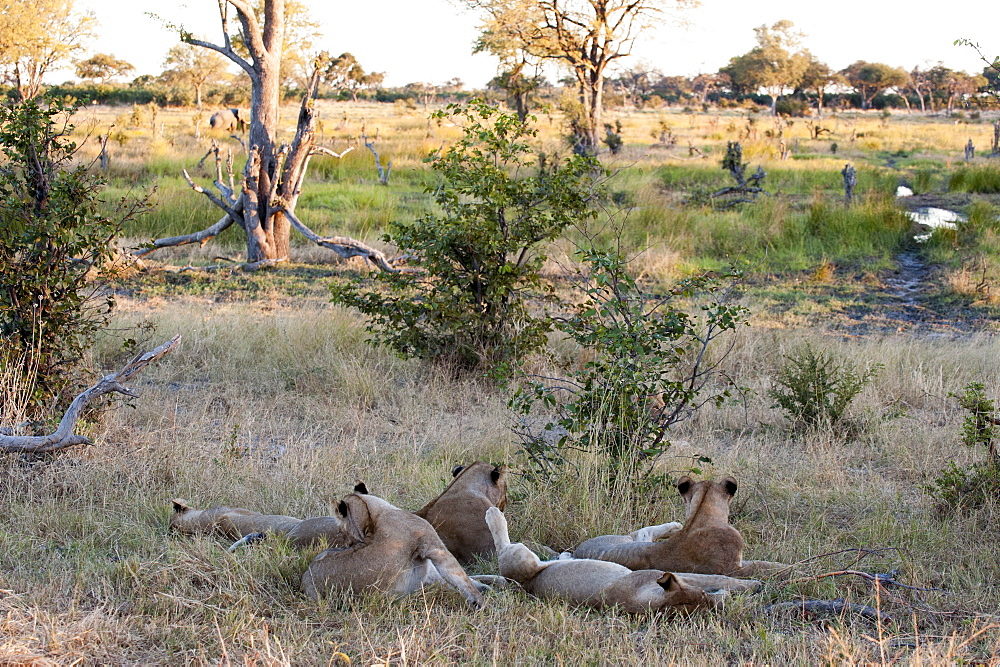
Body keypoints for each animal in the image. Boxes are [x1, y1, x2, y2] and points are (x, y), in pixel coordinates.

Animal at [298, 486, 486, 612]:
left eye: (342, 532)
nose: (348, 544)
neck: (377, 513)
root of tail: (305, 580)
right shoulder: (432, 544)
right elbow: (459, 577)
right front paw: (480, 602)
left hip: (323, 554)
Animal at [486, 506, 756, 616]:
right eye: (700, 593)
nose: (714, 596)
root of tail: (526, 585)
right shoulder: (655, 573)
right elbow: (715, 577)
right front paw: (751, 585)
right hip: (522, 559)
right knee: (503, 546)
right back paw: (493, 513)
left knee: (642, 534)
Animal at [572, 474, 788, 580]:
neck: (699, 517)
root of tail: (577, 550)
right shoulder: (730, 569)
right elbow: (763, 567)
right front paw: (789, 568)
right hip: (626, 540)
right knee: (640, 532)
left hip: (636, 542)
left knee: (644, 533)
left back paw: (675, 527)